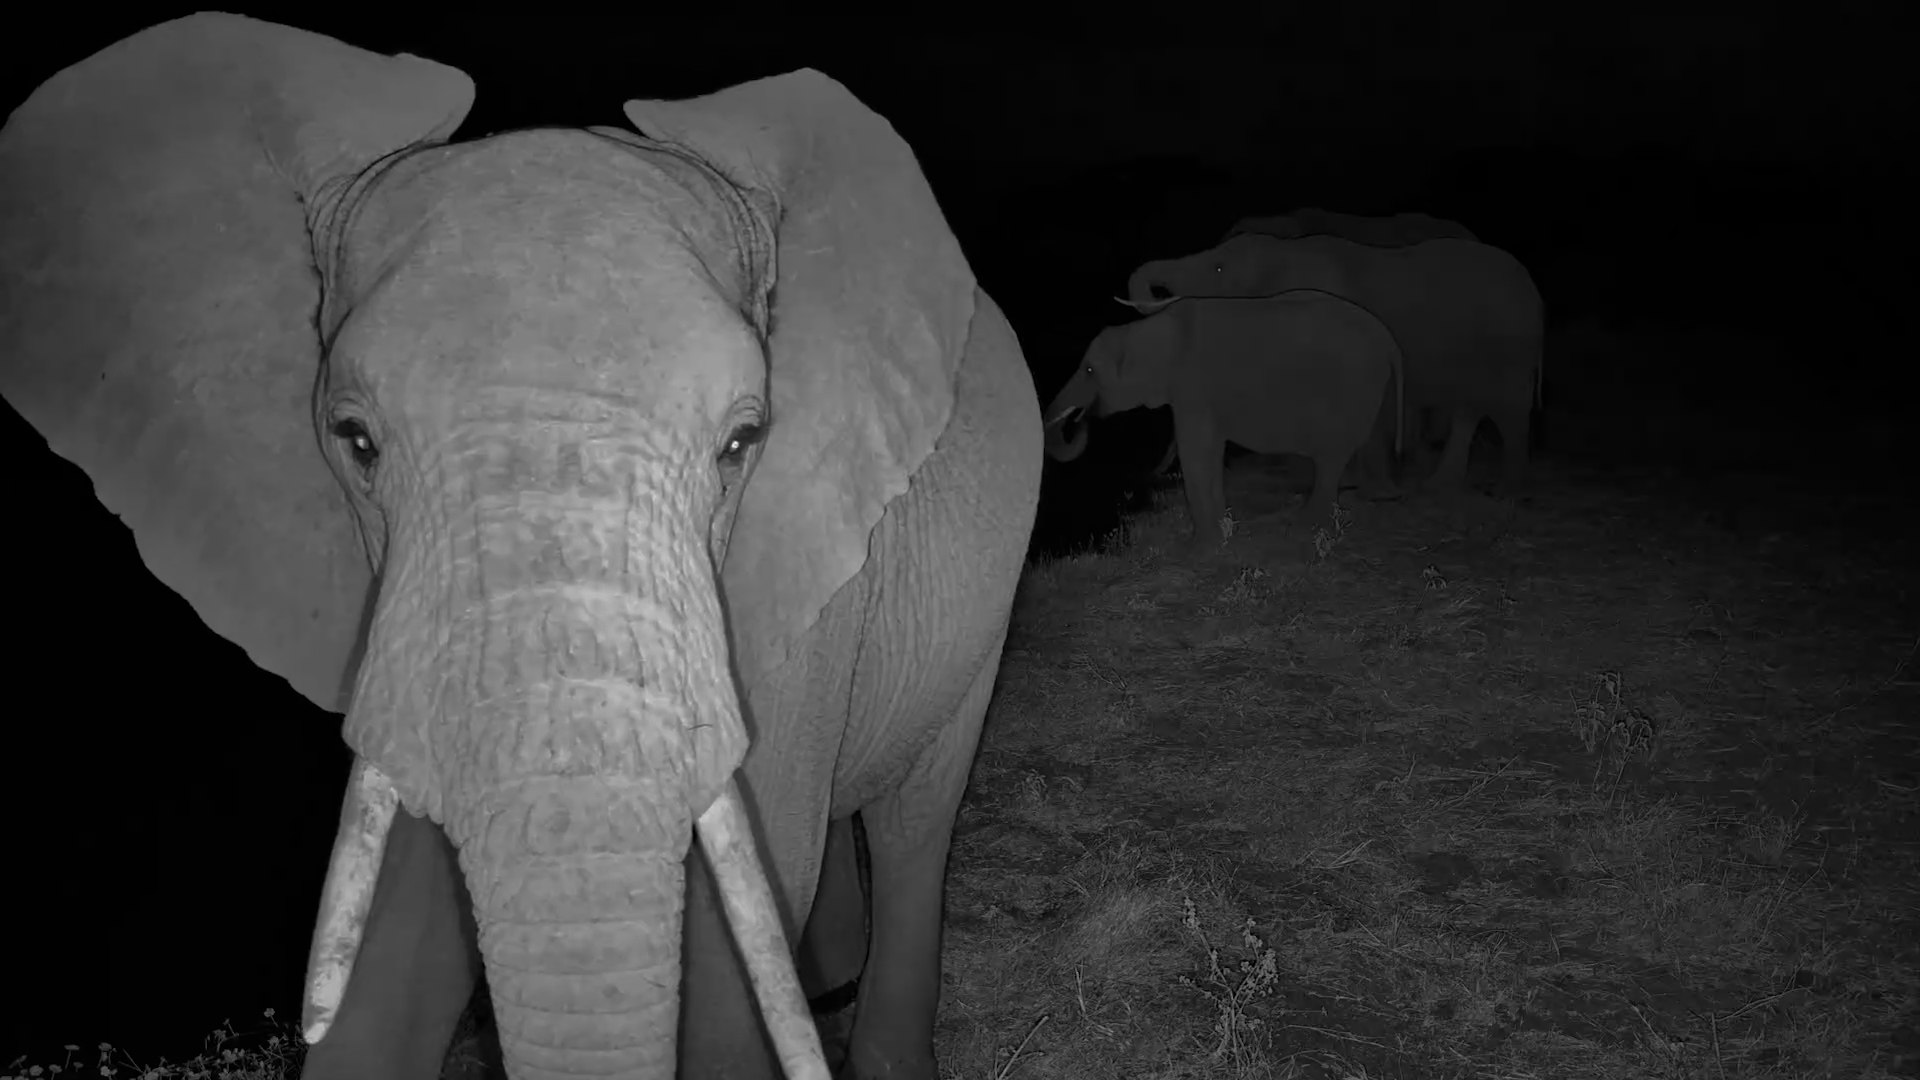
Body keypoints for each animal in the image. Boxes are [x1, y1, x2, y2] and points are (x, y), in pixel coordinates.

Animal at [1043, 290, 1403, 544]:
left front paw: (1201, 547)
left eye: (1089, 370)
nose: (1080, 419)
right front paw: (1222, 534)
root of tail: (1390, 341)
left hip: (1354, 384)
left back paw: (1308, 522)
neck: (1142, 329)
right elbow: (1210, 451)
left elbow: (1195, 451)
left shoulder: (1192, 387)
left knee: (1332, 453)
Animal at [1123, 233, 1542, 494]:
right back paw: (1441, 486)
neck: (1282, 252)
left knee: (1508, 410)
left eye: (1219, 269)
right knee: (1471, 408)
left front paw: (1367, 488)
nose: (1152, 476)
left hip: (1509, 346)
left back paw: (1507, 491)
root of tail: (1534, 291)